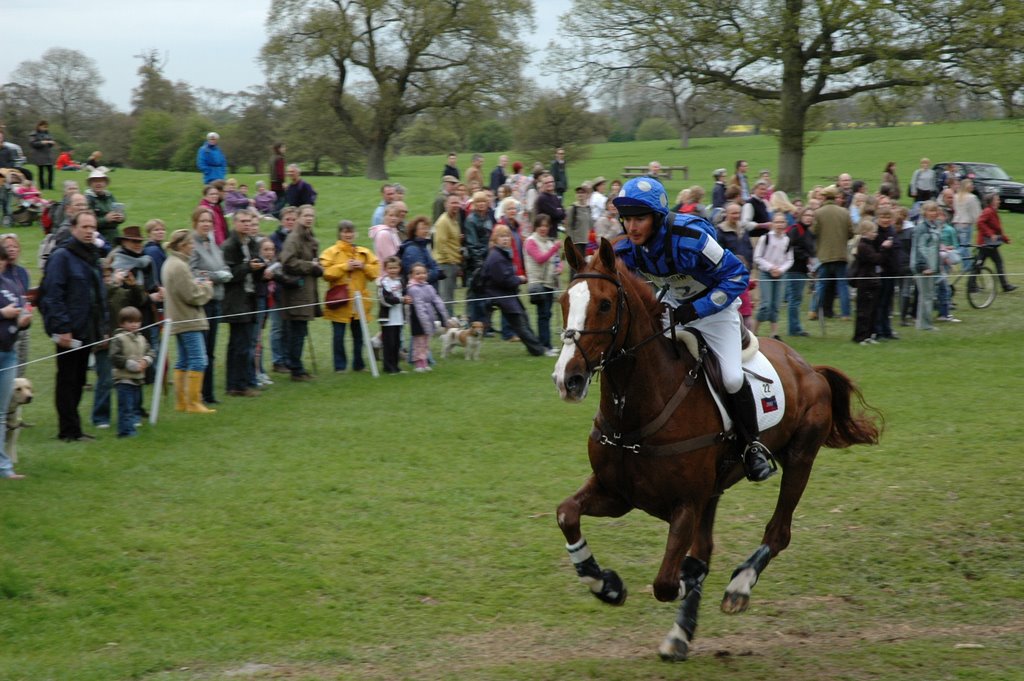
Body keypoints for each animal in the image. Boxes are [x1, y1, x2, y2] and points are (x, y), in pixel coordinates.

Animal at [552, 237, 880, 659]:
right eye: (564, 300)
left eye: (605, 304)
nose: (568, 379)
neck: (636, 412)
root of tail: (808, 367)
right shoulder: (618, 493)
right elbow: (567, 514)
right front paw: (606, 584)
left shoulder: (686, 504)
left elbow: (666, 581)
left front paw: (675, 586)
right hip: (716, 489)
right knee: (708, 547)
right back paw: (680, 634)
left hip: (800, 457)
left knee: (778, 531)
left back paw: (739, 587)